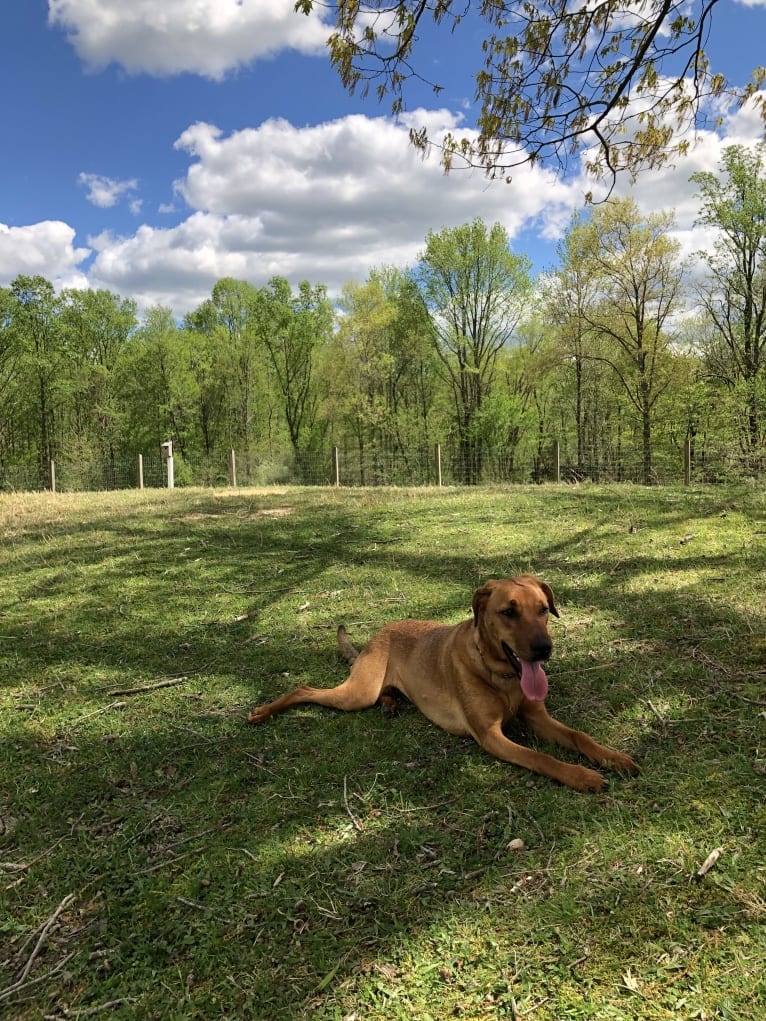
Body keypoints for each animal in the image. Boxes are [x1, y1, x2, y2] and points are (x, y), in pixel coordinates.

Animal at [249, 575, 637, 788]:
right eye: (508, 612)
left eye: (543, 609)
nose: (544, 649)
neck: (501, 677)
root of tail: (378, 634)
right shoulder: (490, 736)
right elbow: (542, 758)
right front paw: (582, 776)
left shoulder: (537, 716)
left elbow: (579, 735)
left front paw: (611, 756)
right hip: (358, 692)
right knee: (305, 688)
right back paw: (263, 712)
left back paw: (391, 704)